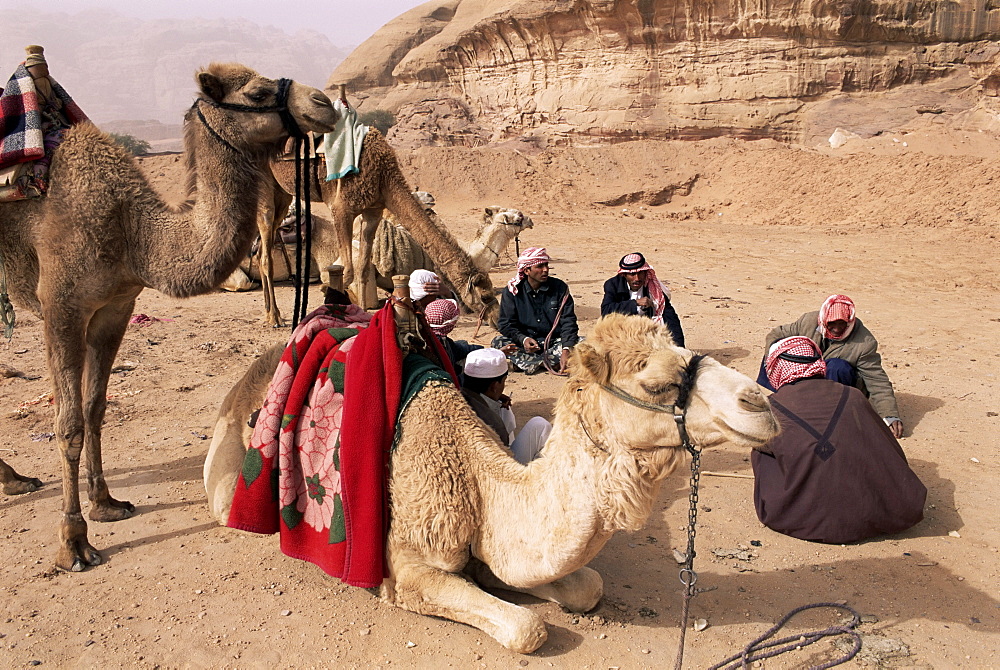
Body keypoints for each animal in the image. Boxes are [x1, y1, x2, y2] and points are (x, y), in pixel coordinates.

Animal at [0, 63, 338, 572]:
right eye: (257, 93)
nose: (324, 103)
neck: (132, 231)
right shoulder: (61, 308)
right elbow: (69, 423)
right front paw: (73, 543)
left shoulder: (115, 307)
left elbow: (96, 408)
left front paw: (106, 503)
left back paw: (14, 479)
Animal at [205, 316, 780, 656]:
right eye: (657, 383)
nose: (761, 403)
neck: (480, 483)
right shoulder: (407, 564)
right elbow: (529, 628)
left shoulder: (495, 549)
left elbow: (585, 587)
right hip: (228, 478)